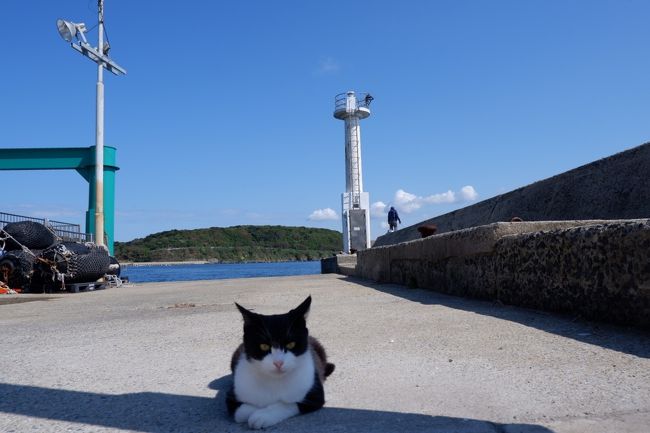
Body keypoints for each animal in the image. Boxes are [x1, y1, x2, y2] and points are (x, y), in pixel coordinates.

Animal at [225, 294, 334, 428]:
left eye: (291, 344)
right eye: (264, 346)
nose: (278, 363)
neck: (275, 381)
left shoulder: (315, 394)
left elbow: (288, 404)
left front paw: (263, 415)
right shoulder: (232, 395)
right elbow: (241, 412)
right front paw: (258, 411)